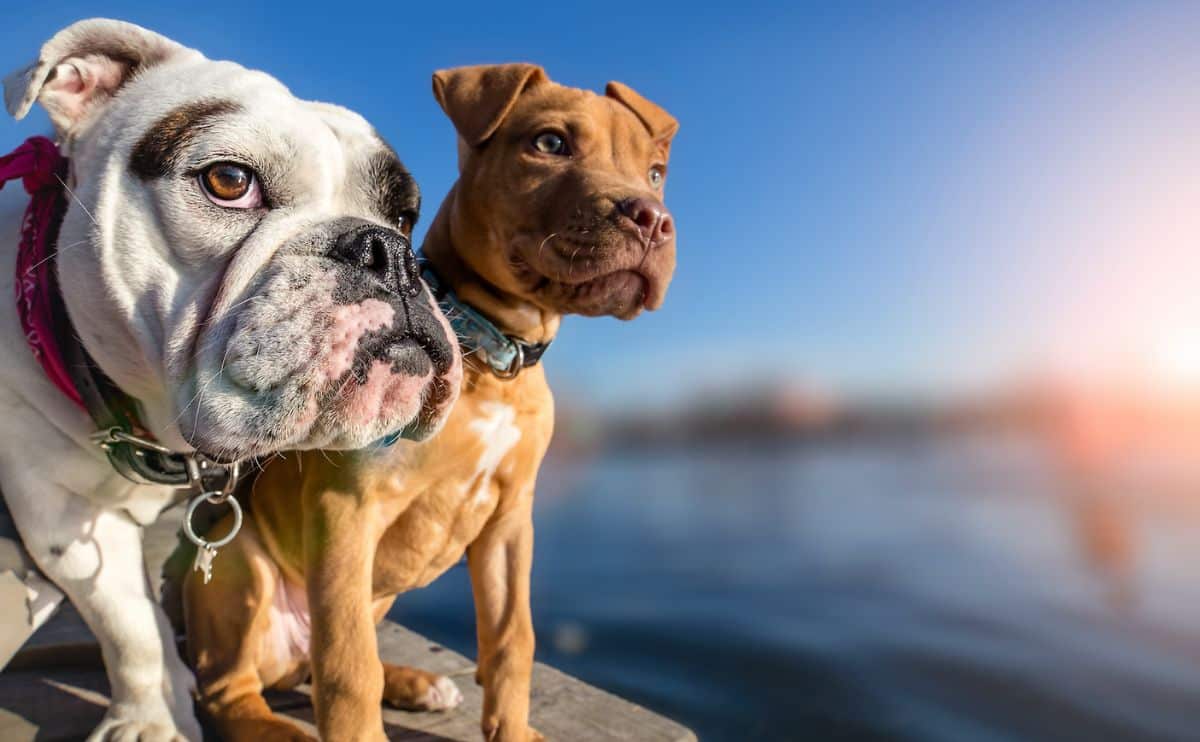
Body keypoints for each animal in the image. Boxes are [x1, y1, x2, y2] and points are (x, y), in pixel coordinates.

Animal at [182, 65, 681, 739]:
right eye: (550, 143)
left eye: (654, 172)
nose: (651, 217)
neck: (492, 358)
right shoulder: (345, 510)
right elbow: (349, 668)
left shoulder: (510, 522)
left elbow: (512, 639)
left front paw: (513, 729)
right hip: (239, 565)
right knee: (232, 688)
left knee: (321, 659)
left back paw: (415, 682)